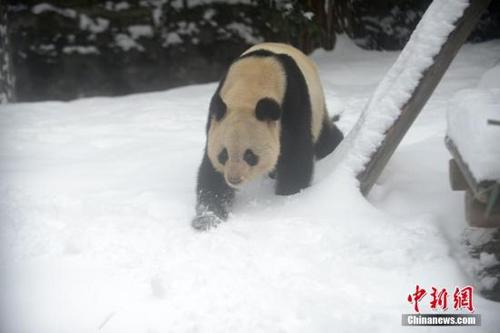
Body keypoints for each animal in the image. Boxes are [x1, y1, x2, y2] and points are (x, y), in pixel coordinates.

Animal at [192, 41, 344, 230]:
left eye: (250, 155)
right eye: (223, 155)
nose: (234, 179)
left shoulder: (293, 103)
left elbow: (296, 155)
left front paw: (286, 196)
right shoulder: (217, 117)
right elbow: (211, 170)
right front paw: (207, 218)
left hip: (317, 107)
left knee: (324, 138)